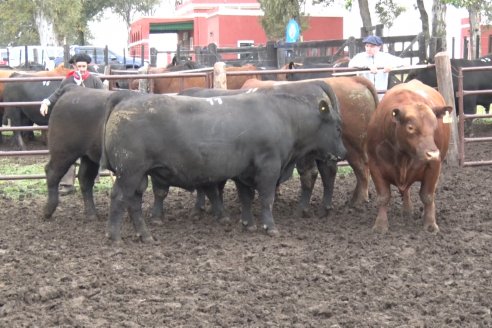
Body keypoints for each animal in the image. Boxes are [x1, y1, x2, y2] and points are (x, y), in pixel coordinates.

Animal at [101, 80, 344, 242]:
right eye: (338, 127)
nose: (342, 152)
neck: (282, 115)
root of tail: (127, 98)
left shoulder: (244, 171)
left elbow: (246, 198)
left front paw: (248, 224)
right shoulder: (269, 167)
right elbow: (267, 198)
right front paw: (270, 226)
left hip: (139, 175)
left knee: (134, 202)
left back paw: (145, 236)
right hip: (129, 172)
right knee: (119, 197)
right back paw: (114, 237)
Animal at [368, 79, 452, 233]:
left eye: (434, 125)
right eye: (410, 127)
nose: (433, 153)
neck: (403, 155)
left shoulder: (434, 165)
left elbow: (427, 196)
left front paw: (430, 224)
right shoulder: (374, 165)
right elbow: (383, 197)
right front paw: (380, 225)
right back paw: (407, 210)